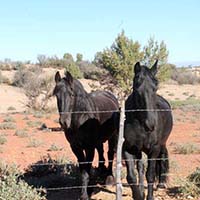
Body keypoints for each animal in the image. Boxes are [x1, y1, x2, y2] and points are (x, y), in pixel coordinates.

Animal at [52, 71, 119, 199]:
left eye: (72, 95)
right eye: (56, 96)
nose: (64, 122)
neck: (80, 119)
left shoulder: (89, 148)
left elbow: (86, 171)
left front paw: (85, 194)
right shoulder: (75, 147)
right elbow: (83, 169)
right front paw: (88, 190)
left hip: (113, 136)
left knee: (110, 154)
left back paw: (109, 178)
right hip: (99, 140)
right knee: (101, 152)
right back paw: (101, 171)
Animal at [122, 61, 173, 200]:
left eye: (156, 86)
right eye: (136, 88)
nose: (150, 124)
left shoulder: (154, 149)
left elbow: (149, 175)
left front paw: (149, 197)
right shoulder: (128, 148)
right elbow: (131, 176)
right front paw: (139, 195)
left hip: (162, 143)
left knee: (162, 157)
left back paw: (161, 183)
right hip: (139, 150)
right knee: (140, 166)